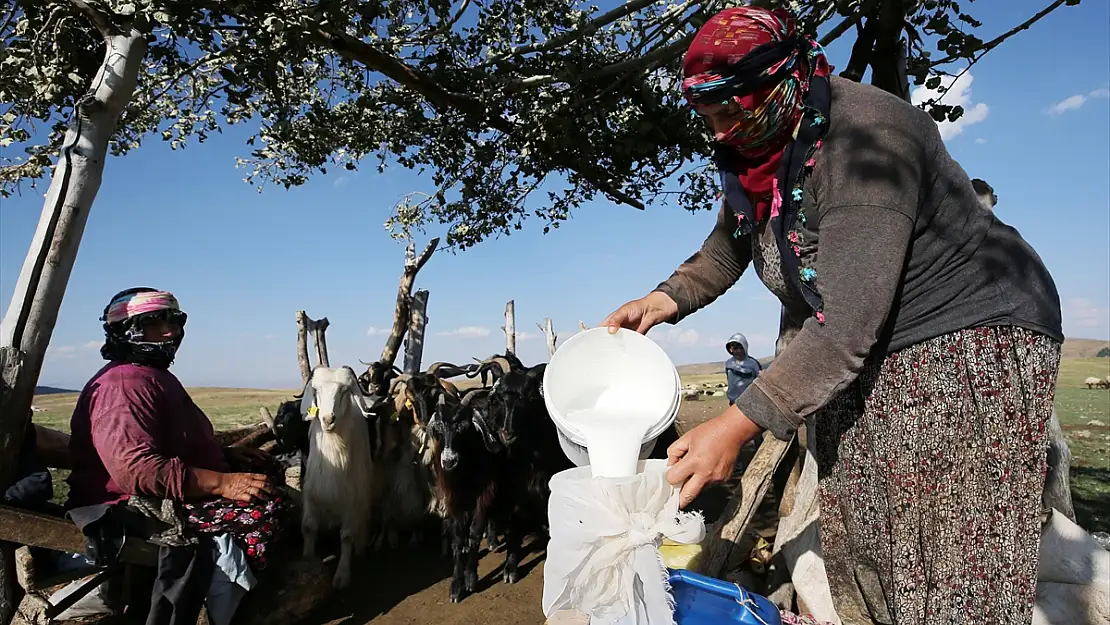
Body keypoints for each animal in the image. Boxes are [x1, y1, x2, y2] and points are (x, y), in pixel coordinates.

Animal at [299, 364, 377, 590]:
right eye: (315, 391)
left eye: (344, 391)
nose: (328, 419)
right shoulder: (311, 493)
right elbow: (309, 527)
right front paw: (307, 560)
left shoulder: (353, 499)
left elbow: (347, 536)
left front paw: (342, 575)